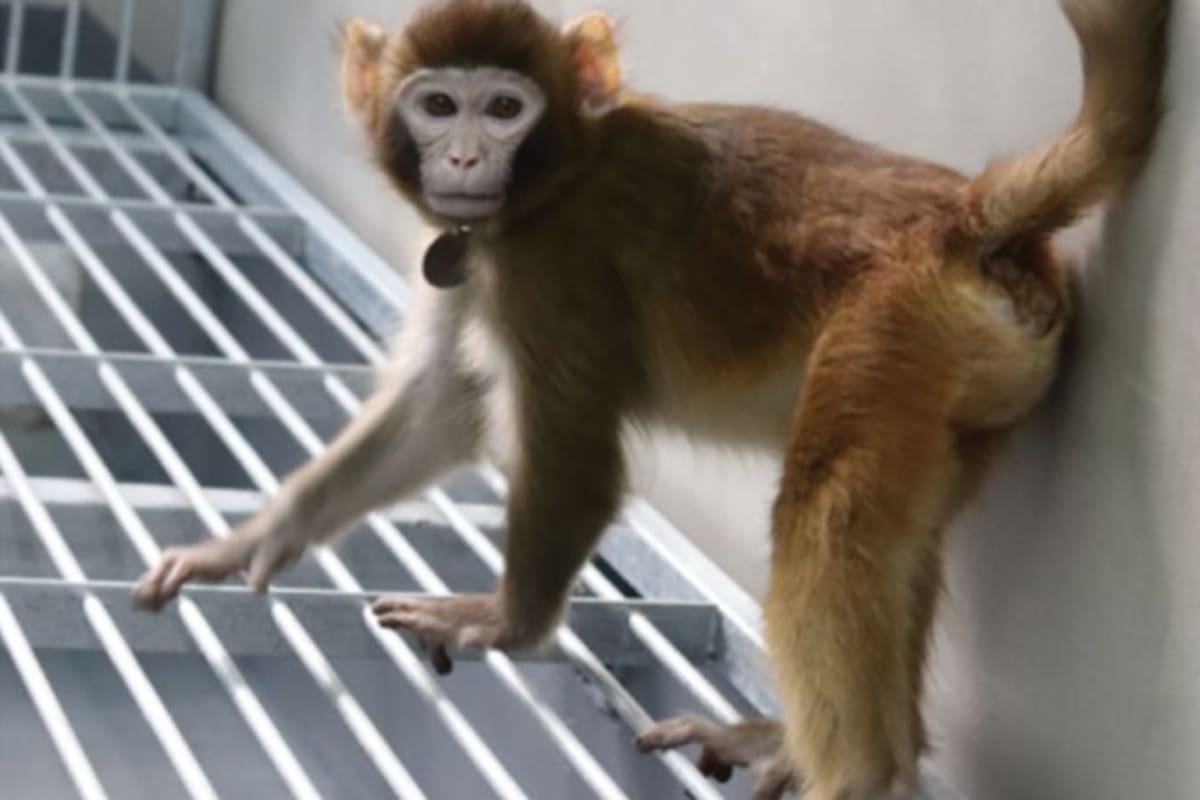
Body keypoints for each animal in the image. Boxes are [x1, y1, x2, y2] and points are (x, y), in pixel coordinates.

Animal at [133, 0, 1170, 797]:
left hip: (895, 326)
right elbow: (442, 404)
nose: (463, 160)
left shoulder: (556, 264)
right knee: (893, 535)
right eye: (436, 105)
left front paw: (508, 623)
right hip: (962, 378)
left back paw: (859, 774)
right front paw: (253, 541)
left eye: (503, 108)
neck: (559, 174)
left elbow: (578, 460)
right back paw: (816, 744)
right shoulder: (482, 255)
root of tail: (966, 219)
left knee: (828, 517)